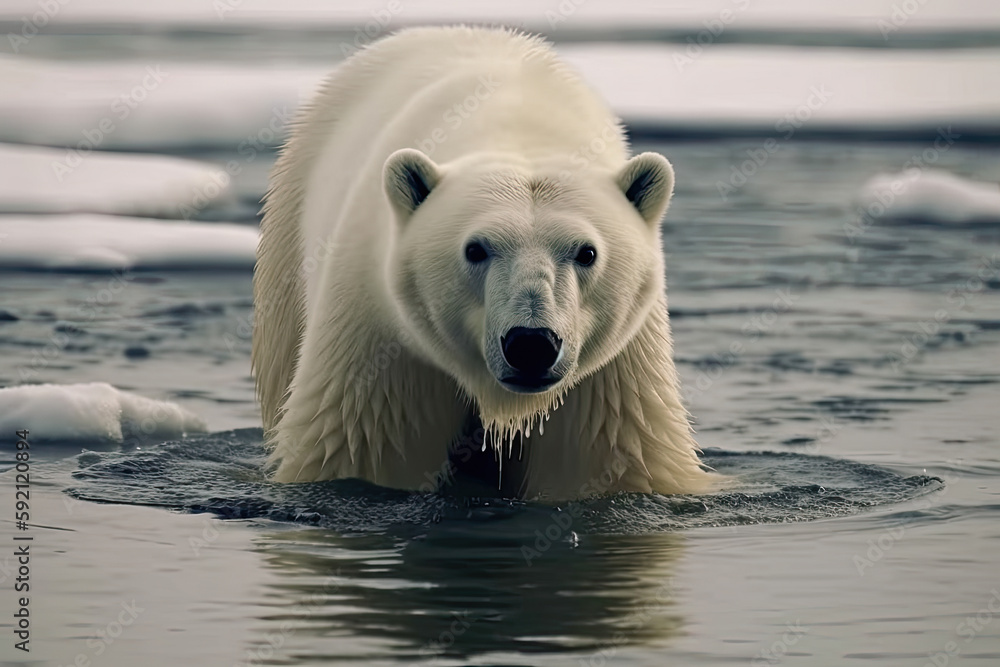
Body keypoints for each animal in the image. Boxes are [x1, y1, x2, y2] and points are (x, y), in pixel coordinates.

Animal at [252, 26, 716, 500]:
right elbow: (361, 447)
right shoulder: (378, 332)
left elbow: (611, 460)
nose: (531, 343)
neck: (516, 123)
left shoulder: (614, 368)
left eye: (587, 252)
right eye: (475, 249)